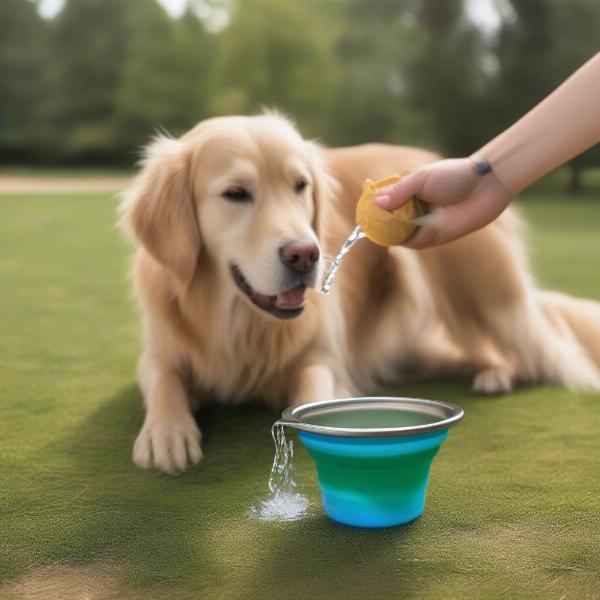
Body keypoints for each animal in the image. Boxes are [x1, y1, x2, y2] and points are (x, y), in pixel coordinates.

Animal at [118, 113, 600, 474]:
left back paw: (504, 372)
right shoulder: (159, 352)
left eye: (300, 186)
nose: (305, 255)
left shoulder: (324, 358)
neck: (240, 324)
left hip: (489, 297)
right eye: (235, 194)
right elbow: (164, 379)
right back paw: (492, 372)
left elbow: (313, 388)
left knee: (546, 350)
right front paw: (166, 432)